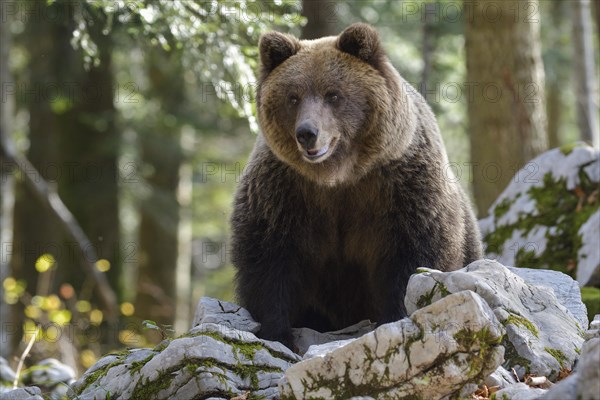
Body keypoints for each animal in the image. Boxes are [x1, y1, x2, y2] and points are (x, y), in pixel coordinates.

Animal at [230, 23, 482, 348]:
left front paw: (397, 317)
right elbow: (268, 256)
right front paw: (277, 332)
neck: (340, 176)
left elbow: (414, 254)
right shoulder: (284, 190)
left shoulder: (402, 186)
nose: (307, 133)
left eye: (333, 94)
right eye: (293, 96)